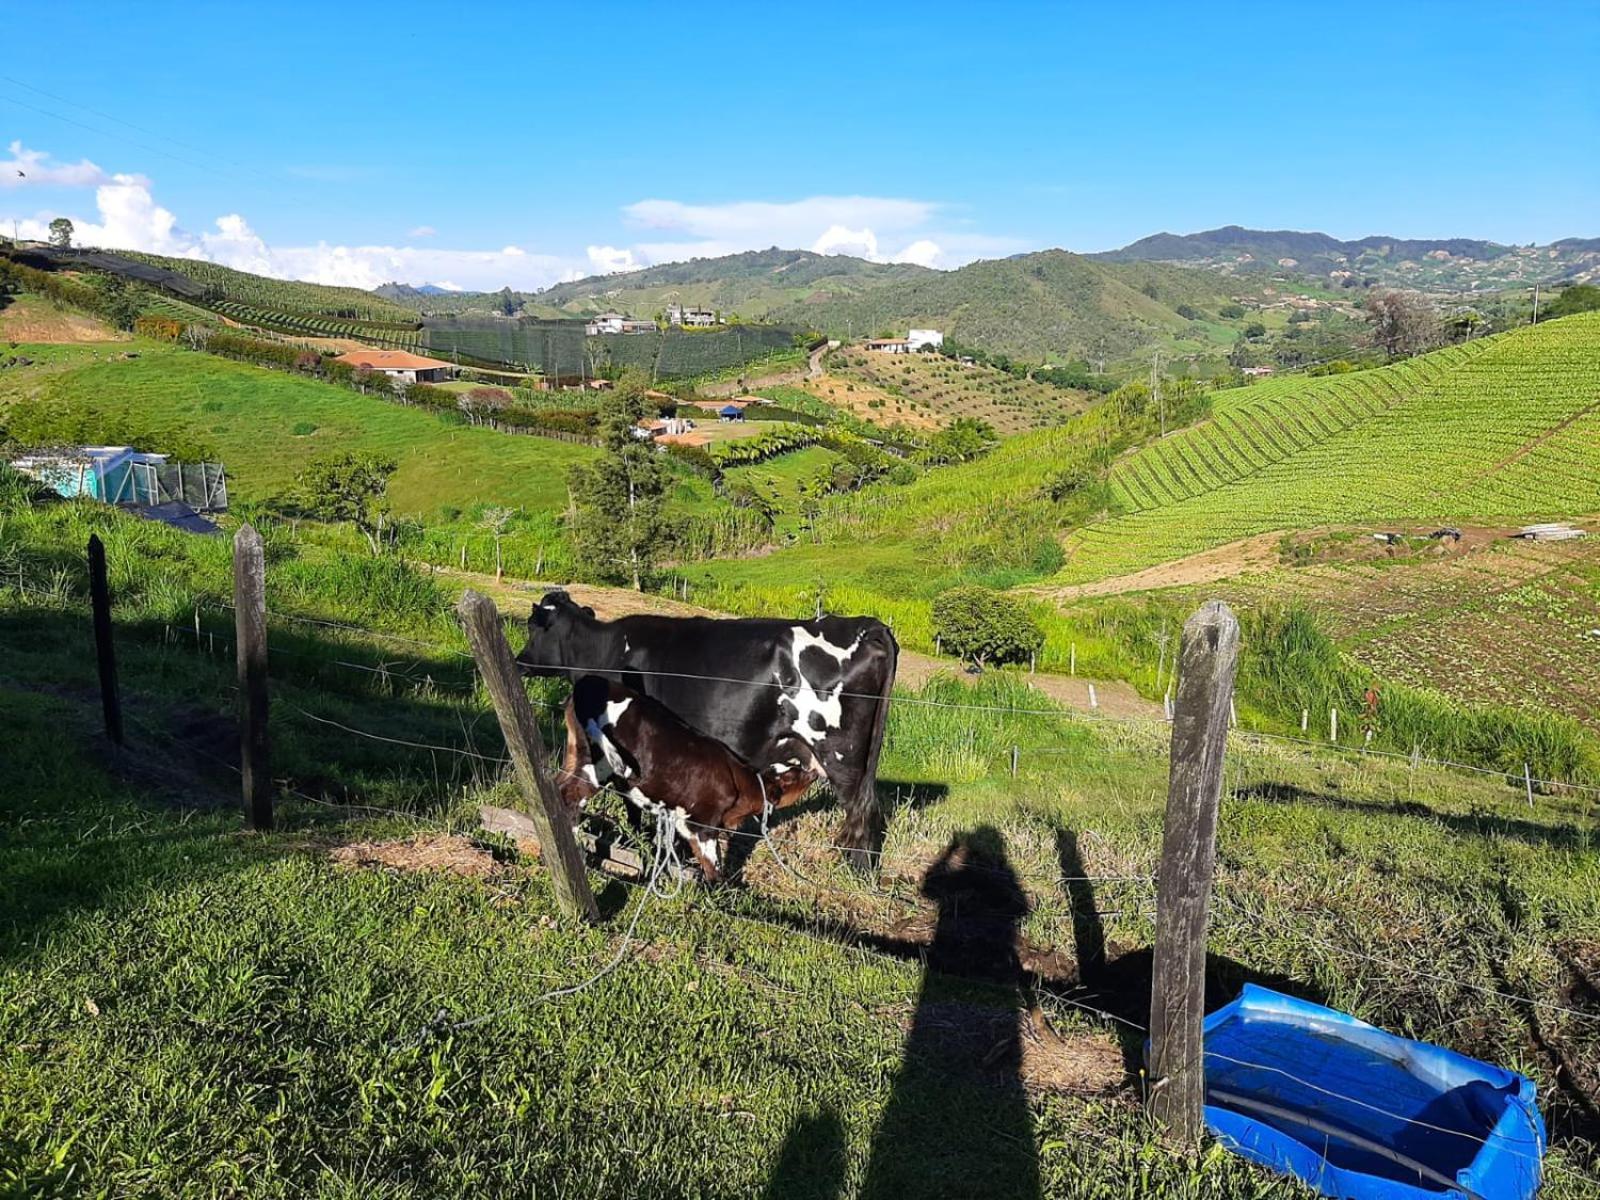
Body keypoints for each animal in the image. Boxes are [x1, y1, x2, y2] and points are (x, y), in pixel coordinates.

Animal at [560, 678, 812, 883]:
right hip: (597, 763)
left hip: (575, 756)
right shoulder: (703, 823)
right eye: (793, 776)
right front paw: (720, 890)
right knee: (570, 796)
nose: (811, 770)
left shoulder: (681, 817)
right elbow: (712, 861)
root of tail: (587, 682)